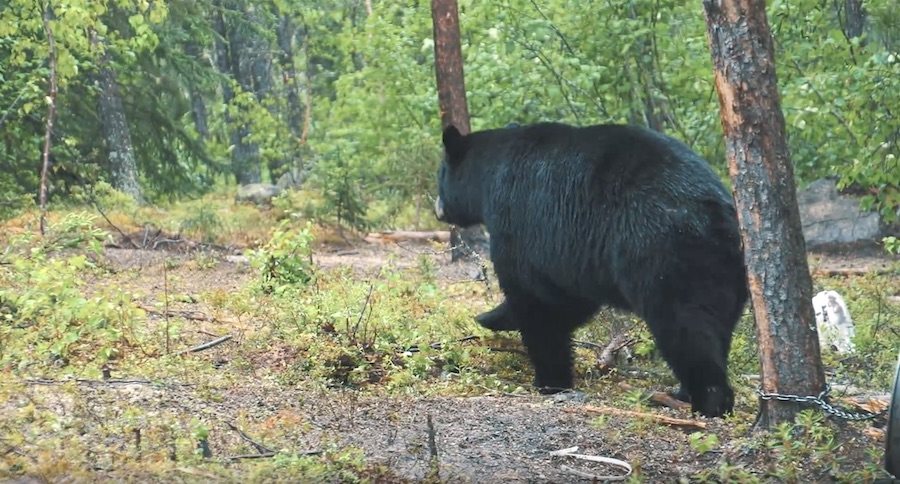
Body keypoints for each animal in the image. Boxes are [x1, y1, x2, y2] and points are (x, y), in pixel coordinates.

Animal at [434, 123, 744, 418]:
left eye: (441, 175)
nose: (437, 208)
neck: (489, 176)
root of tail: (717, 214)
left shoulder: (519, 224)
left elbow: (535, 300)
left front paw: (549, 379)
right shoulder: (573, 256)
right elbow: (570, 301)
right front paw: (490, 317)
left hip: (664, 256)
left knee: (686, 327)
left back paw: (708, 401)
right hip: (724, 272)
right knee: (718, 327)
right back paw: (684, 391)